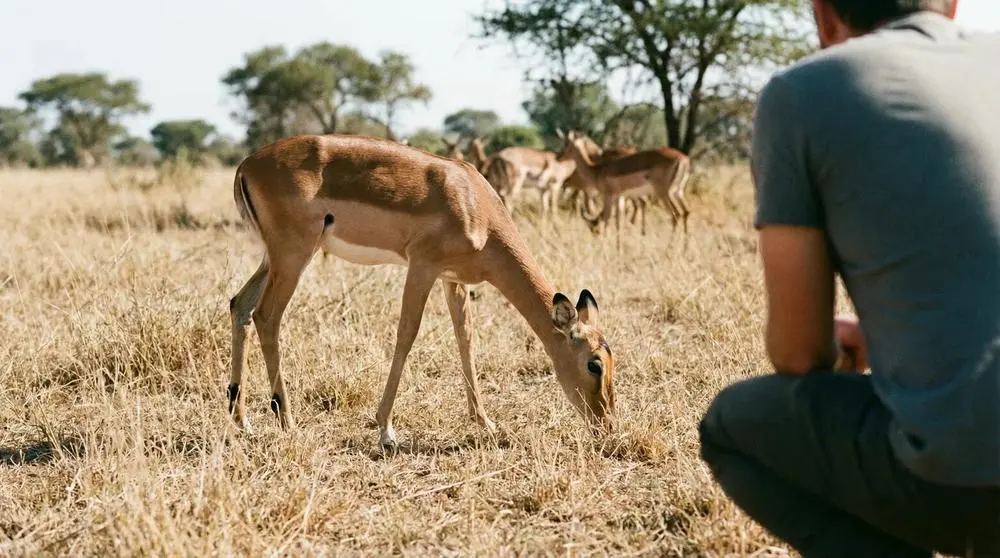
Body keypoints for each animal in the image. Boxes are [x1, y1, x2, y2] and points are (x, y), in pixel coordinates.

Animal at [227, 134, 617, 451]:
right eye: (594, 363)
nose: (607, 426)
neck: (475, 205)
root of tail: (246, 164)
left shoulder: (453, 279)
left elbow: (465, 339)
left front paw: (485, 422)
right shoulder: (422, 267)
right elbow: (406, 335)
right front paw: (386, 431)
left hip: (274, 260)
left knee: (239, 305)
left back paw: (242, 421)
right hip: (293, 257)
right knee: (267, 316)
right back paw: (287, 422)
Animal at [559, 131, 691, 238]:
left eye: (567, 144)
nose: (559, 156)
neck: (597, 170)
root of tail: (683, 159)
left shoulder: (608, 196)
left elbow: (607, 218)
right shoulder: (620, 197)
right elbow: (618, 222)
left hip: (664, 193)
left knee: (675, 215)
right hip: (678, 192)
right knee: (686, 212)